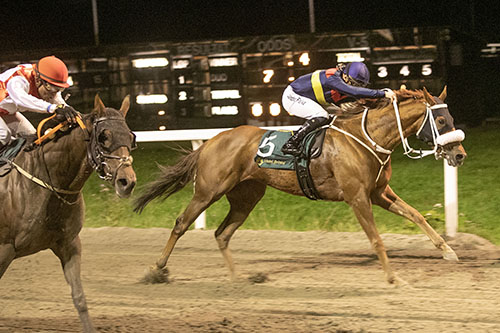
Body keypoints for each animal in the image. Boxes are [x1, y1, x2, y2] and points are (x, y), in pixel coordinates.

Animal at [0, 94, 137, 332]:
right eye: (103, 137)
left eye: (131, 136)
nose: (126, 182)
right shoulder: (4, 248)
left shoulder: (69, 244)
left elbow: (79, 297)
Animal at [135, 87, 466, 286]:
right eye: (440, 120)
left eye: (451, 116)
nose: (460, 154)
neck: (367, 137)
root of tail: (209, 142)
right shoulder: (357, 197)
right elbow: (376, 239)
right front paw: (393, 278)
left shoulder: (378, 193)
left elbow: (416, 215)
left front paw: (448, 251)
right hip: (208, 190)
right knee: (181, 223)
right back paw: (157, 268)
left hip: (247, 196)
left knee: (222, 233)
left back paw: (238, 276)